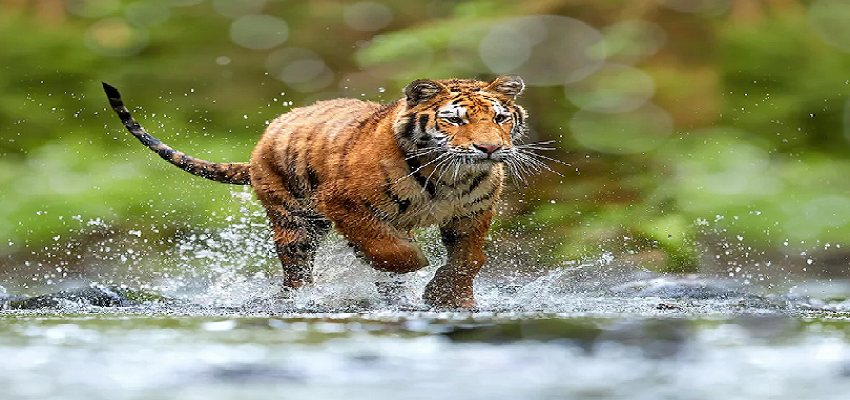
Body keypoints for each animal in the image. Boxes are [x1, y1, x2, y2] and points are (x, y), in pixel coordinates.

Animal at [102, 75, 530, 308]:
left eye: (500, 118)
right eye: (454, 120)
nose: (489, 148)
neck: (449, 177)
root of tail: (260, 144)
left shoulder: (473, 213)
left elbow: (468, 260)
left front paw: (450, 300)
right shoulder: (344, 203)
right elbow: (387, 249)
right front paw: (416, 261)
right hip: (295, 223)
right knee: (297, 274)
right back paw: (302, 300)